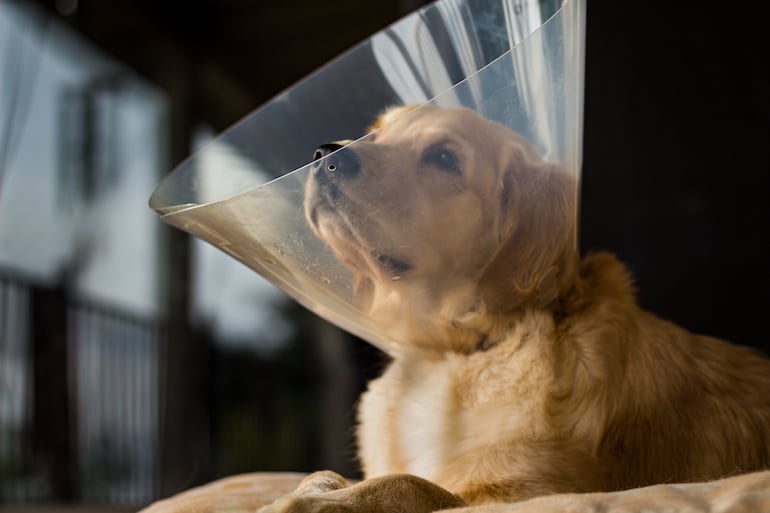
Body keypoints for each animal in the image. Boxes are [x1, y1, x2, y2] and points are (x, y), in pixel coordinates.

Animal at [256, 105, 768, 512]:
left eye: (445, 157)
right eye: (375, 131)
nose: (325, 155)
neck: (462, 350)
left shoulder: (531, 492)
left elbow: (411, 484)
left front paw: (312, 502)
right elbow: (335, 473)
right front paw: (313, 488)